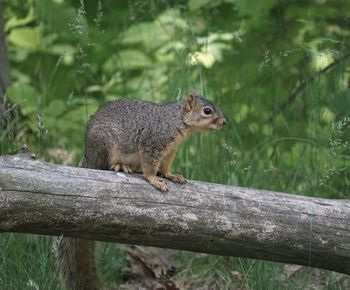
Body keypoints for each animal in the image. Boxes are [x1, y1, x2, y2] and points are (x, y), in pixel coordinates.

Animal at [57, 92, 227, 288]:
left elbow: (165, 167)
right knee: (105, 165)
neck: (176, 119)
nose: (225, 121)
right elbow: (149, 165)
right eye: (207, 111)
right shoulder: (152, 141)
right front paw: (155, 180)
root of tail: (88, 156)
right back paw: (120, 166)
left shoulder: (169, 152)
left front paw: (172, 176)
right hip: (105, 144)